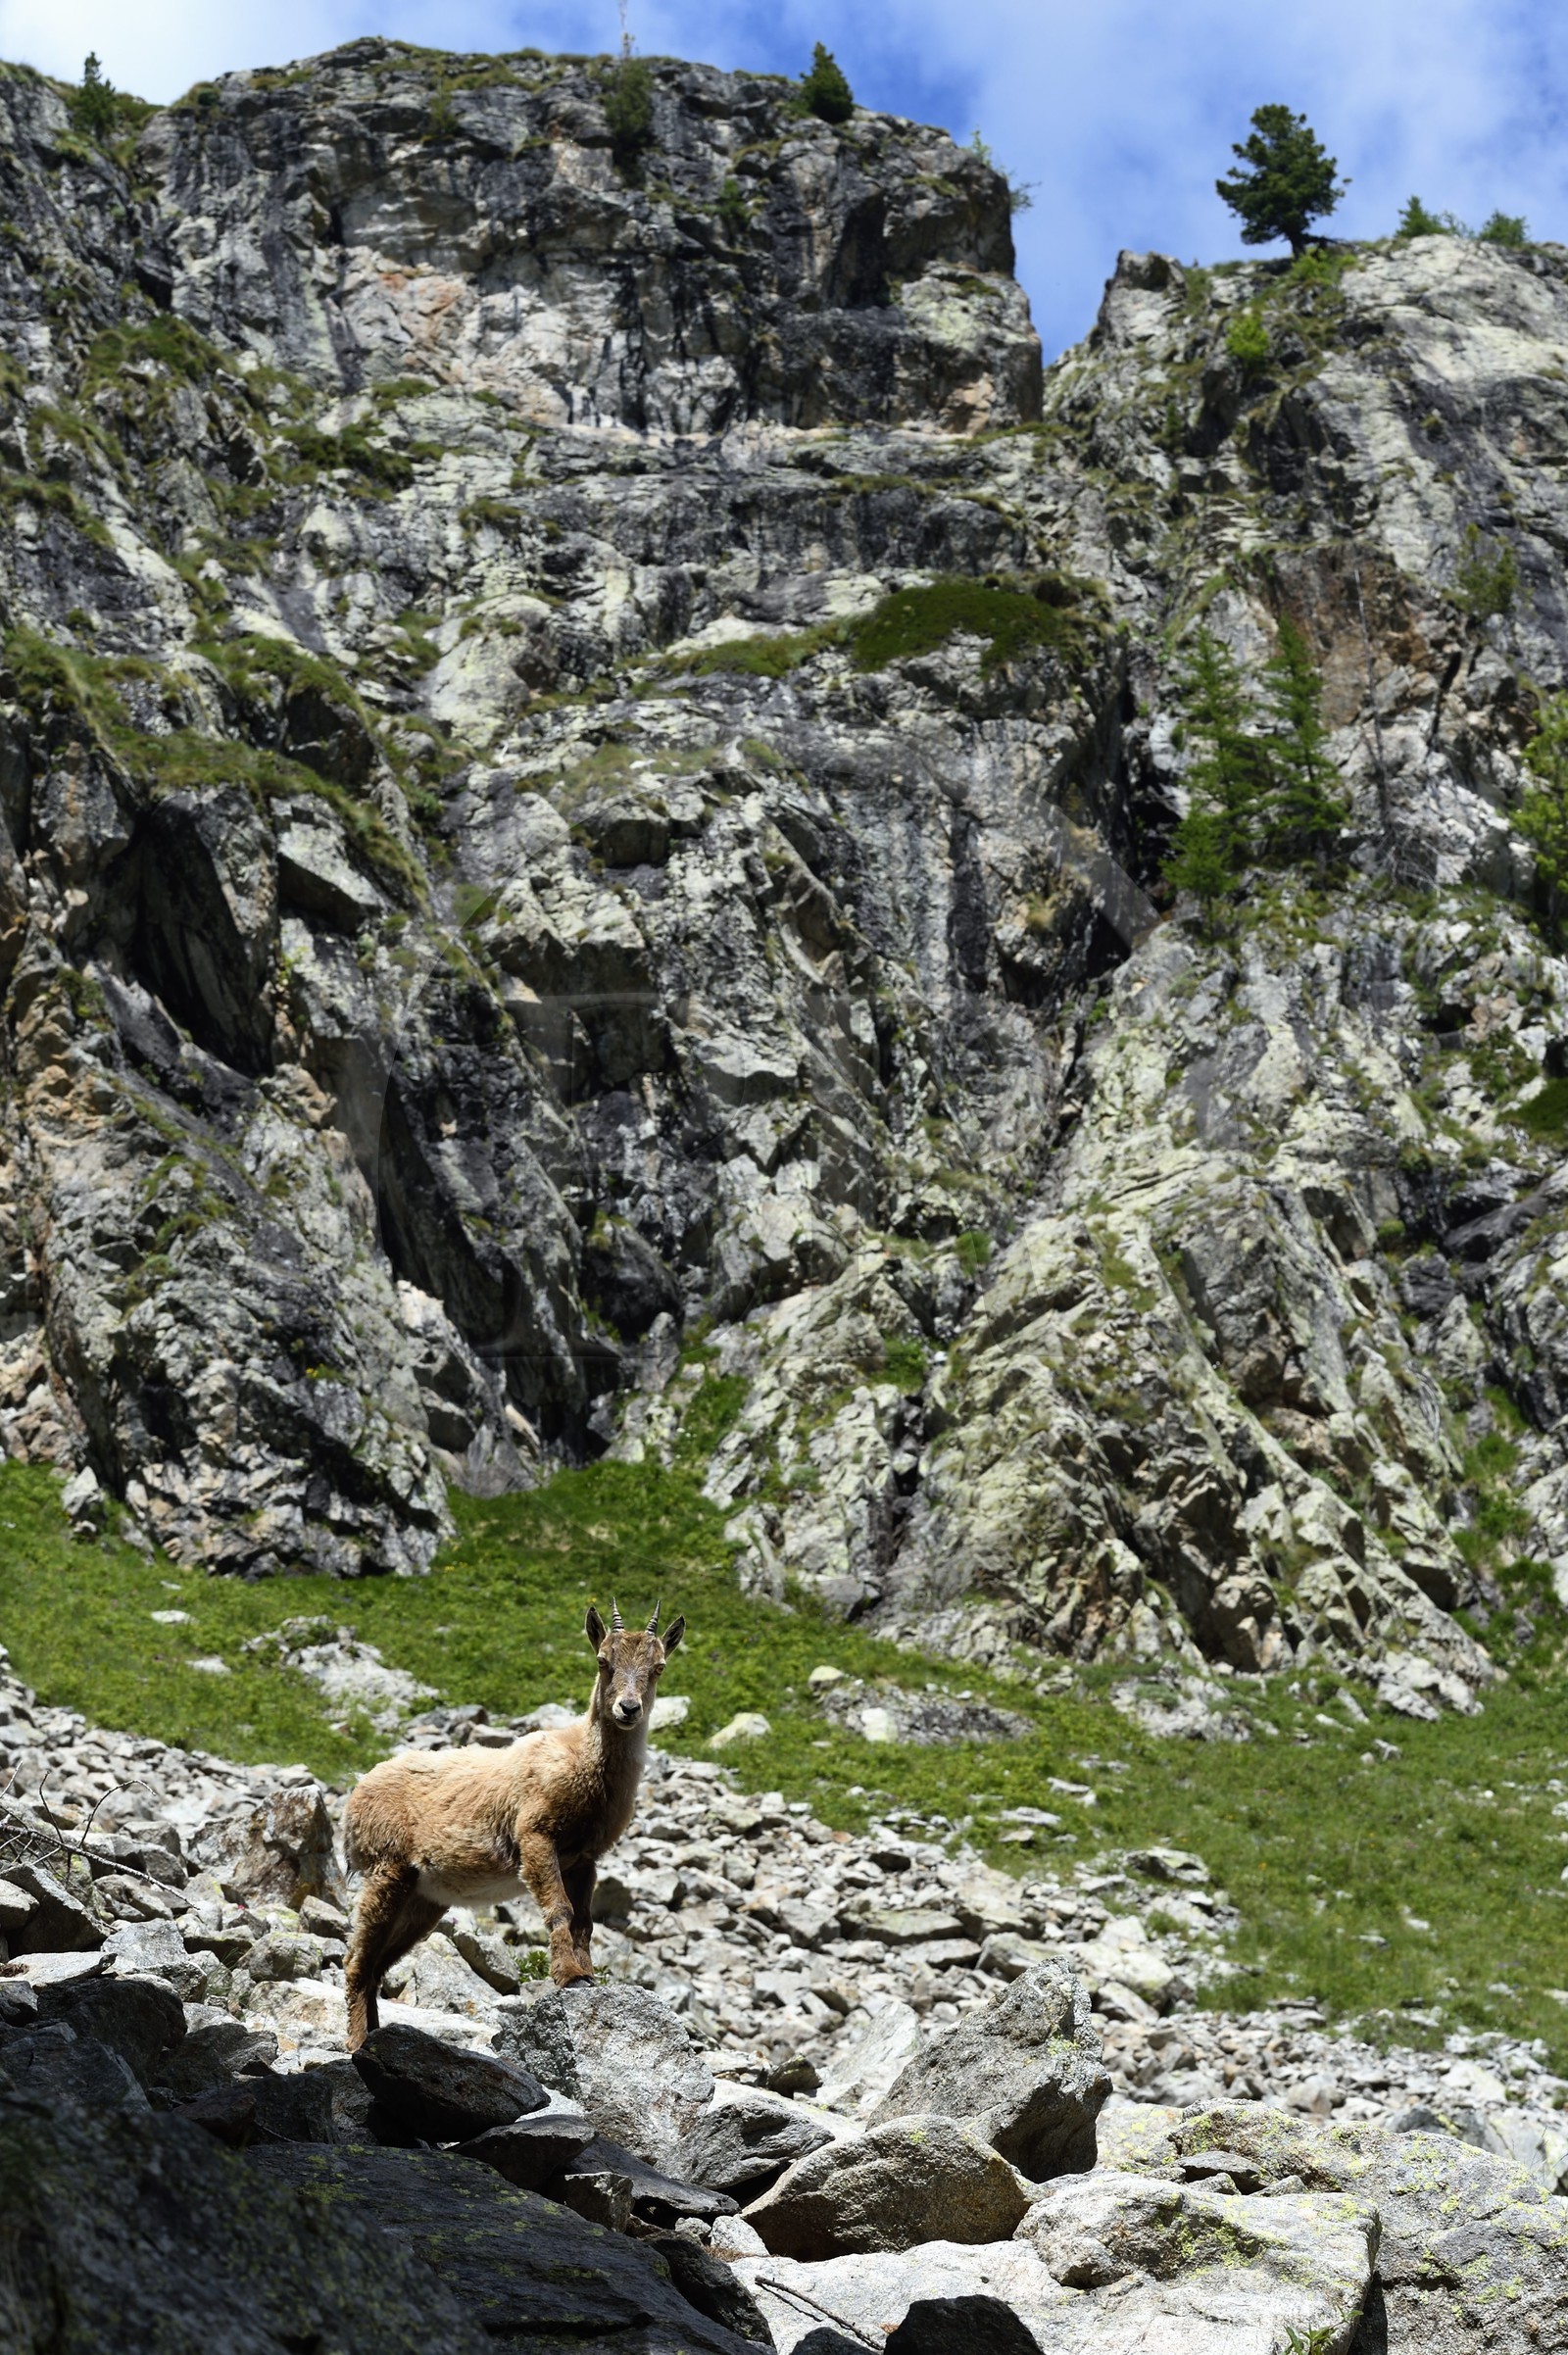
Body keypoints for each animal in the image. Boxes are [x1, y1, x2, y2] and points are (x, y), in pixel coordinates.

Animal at [341, 1599, 683, 2049]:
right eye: (603, 1661)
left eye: (659, 1666)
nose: (628, 1709)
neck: (583, 1763)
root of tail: (355, 1798)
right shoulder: (536, 1835)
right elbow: (559, 1908)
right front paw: (568, 1977)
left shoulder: (584, 1858)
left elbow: (585, 1921)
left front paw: (588, 1975)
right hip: (387, 1869)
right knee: (356, 1962)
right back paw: (357, 2043)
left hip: (423, 1898)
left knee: (378, 1964)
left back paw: (378, 2038)